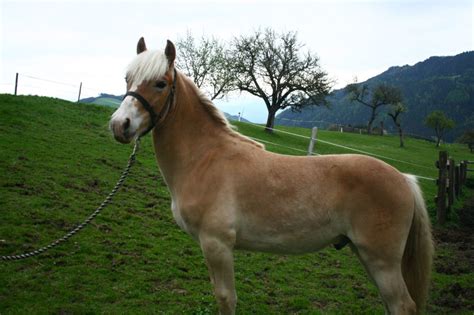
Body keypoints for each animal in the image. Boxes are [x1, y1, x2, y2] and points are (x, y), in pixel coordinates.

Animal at [110, 38, 434, 314]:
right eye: (127, 78)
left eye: (160, 83)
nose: (119, 125)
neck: (206, 158)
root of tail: (403, 178)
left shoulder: (217, 245)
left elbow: (226, 299)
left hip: (382, 261)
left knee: (403, 306)